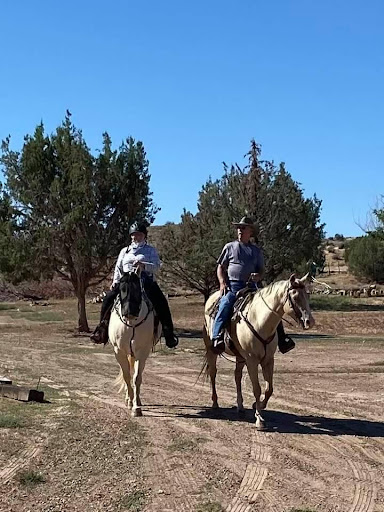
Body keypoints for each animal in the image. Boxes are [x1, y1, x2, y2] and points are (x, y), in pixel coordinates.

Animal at [109, 272, 161, 416]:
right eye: (121, 289)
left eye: (138, 289)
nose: (129, 312)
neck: (131, 324)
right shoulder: (119, 351)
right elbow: (127, 376)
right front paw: (130, 402)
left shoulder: (142, 352)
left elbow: (136, 378)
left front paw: (136, 407)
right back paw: (129, 399)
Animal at [202, 274, 314, 430]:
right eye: (295, 296)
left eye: (307, 295)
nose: (310, 321)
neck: (260, 322)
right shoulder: (252, 360)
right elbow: (257, 389)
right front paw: (260, 419)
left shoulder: (268, 360)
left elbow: (269, 389)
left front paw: (258, 405)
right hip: (211, 350)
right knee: (213, 373)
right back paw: (215, 404)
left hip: (240, 356)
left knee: (237, 376)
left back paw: (240, 407)